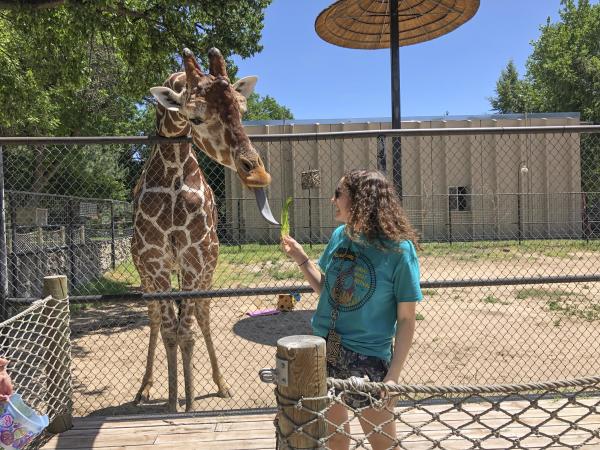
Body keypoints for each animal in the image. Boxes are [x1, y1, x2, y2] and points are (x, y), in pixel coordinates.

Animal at [132, 47, 274, 414]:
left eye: (242, 109)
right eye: (194, 118)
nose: (256, 173)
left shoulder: (195, 259)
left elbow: (189, 329)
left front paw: (191, 404)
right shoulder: (155, 262)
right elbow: (171, 331)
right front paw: (172, 403)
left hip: (204, 266)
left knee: (201, 315)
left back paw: (220, 385)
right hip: (150, 272)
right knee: (156, 319)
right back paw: (145, 388)